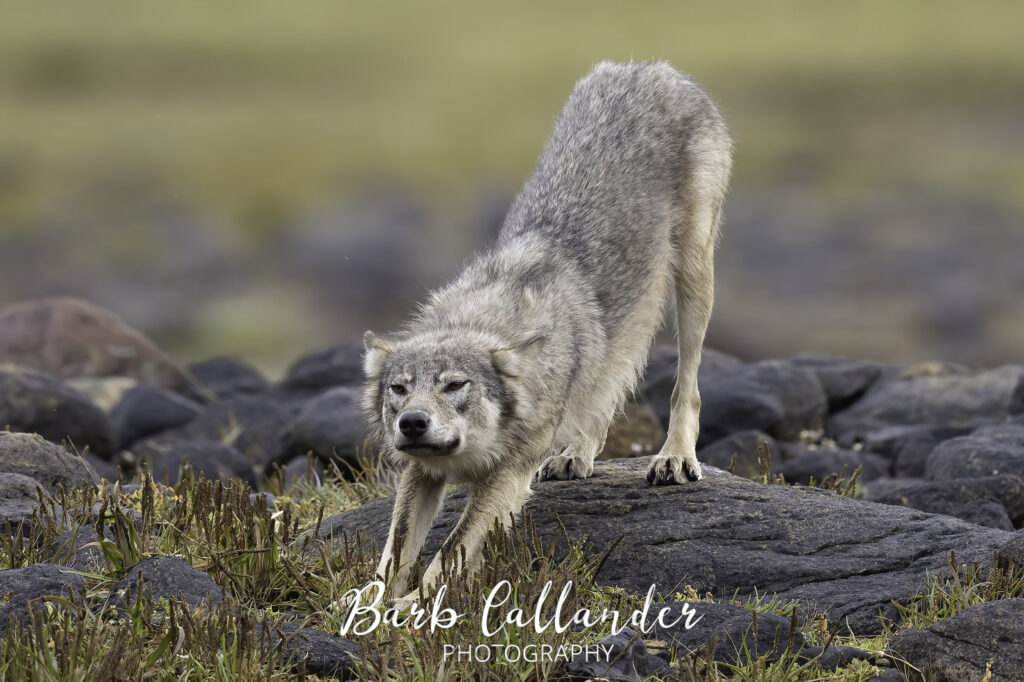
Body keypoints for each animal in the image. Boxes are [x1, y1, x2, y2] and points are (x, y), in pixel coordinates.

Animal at [362, 61, 732, 599]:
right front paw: (364, 603)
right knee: (607, 385)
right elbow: (393, 553)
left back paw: (674, 458)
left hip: (694, 281)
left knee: (687, 383)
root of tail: (651, 67)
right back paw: (577, 455)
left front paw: (412, 608)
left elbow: (447, 555)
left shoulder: (507, 477)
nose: (412, 423)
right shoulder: (420, 472)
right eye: (399, 389)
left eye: (455, 386)